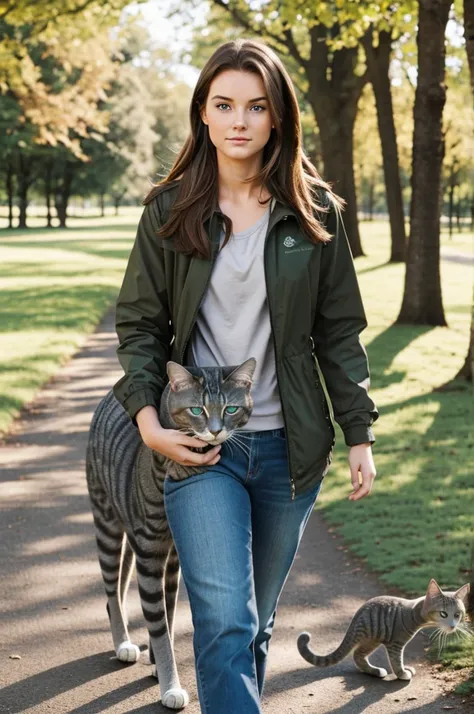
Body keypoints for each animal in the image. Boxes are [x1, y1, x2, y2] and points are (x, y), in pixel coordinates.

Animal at [85, 356, 256, 708]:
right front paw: (170, 686)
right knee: (111, 586)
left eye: (231, 409)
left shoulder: (175, 556)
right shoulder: (150, 553)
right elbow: (159, 624)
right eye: (197, 410)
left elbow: (170, 613)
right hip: (107, 522)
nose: (215, 430)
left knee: (120, 587)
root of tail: (110, 397)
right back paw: (122, 642)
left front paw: (157, 666)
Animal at [298, 572, 468, 680]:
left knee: (358, 655)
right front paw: (402, 673)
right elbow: (396, 661)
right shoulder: (395, 643)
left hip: (372, 640)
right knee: (357, 654)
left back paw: (373, 670)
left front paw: (404, 670)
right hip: (372, 635)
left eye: (457, 615)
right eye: (443, 614)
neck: (414, 611)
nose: (452, 626)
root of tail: (358, 613)